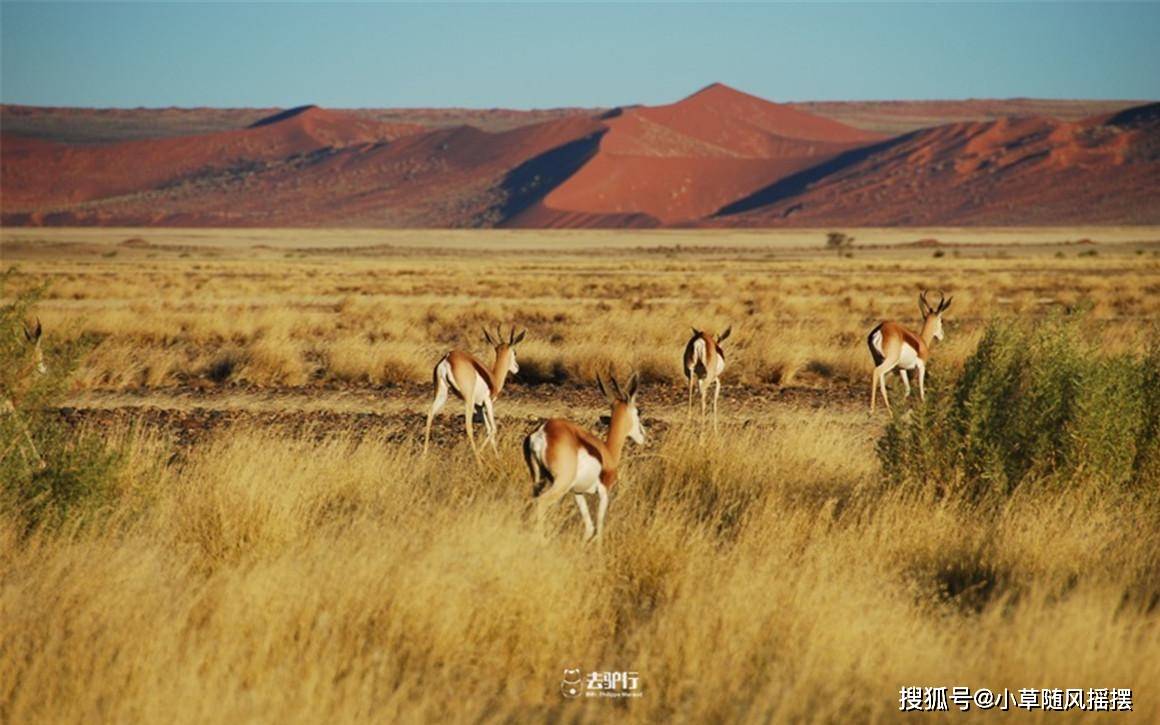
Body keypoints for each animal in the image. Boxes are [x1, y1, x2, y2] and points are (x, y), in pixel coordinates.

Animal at [422, 324, 526, 461]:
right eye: (515, 352)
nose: (517, 368)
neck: (494, 378)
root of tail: (448, 358)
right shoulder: (487, 402)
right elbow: (493, 429)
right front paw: (481, 455)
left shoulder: (480, 407)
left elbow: (489, 430)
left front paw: (497, 457)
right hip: (468, 400)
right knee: (468, 426)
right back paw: (478, 460)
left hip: (442, 394)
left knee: (429, 415)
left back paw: (424, 455)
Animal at [524, 373, 644, 542]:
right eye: (638, 412)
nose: (643, 436)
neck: (608, 452)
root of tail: (543, 432)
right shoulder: (604, 492)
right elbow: (599, 528)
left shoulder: (577, 493)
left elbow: (589, 528)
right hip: (560, 484)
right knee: (541, 503)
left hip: (537, 480)